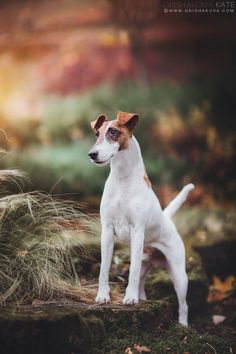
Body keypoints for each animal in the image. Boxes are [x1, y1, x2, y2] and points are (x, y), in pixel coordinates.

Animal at [88, 112, 194, 324]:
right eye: (97, 133)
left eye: (113, 132)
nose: (92, 154)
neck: (122, 180)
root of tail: (166, 218)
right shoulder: (107, 232)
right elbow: (104, 269)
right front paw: (103, 296)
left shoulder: (137, 231)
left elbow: (133, 273)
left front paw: (130, 298)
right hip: (147, 263)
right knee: (142, 280)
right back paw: (142, 297)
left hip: (179, 274)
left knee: (183, 304)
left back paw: (183, 325)